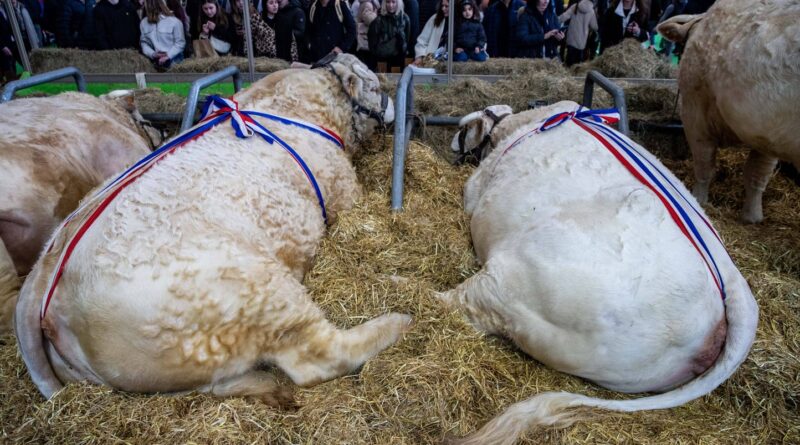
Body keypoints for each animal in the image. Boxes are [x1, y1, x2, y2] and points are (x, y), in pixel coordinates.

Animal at [438, 102, 758, 445]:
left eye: (463, 131)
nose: (452, 143)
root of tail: (731, 283)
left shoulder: (474, 190)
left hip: (513, 286)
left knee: (459, 303)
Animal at [657, 0, 800, 223]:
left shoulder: (694, 111)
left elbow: (706, 166)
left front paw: (698, 200)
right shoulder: (768, 131)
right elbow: (757, 174)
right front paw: (753, 217)